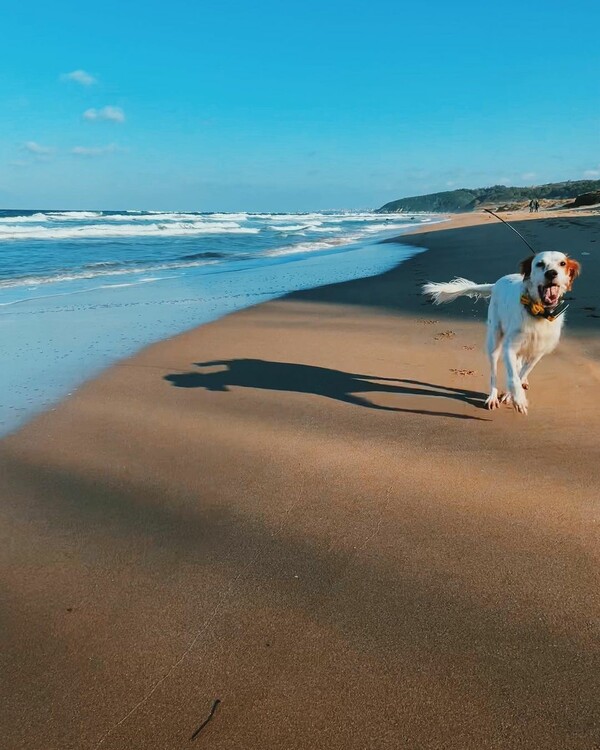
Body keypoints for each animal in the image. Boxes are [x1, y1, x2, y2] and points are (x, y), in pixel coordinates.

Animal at [422, 253, 580, 418]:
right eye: (539, 264)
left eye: (562, 263)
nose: (551, 273)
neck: (538, 312)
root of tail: (497, 282)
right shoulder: (509, 348)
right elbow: (513, 377)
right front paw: (518, 400)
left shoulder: (538, 352)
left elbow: (522, 372)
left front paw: (512, 394)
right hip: (494, 343)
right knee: (494, 374)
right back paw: (492, 397)